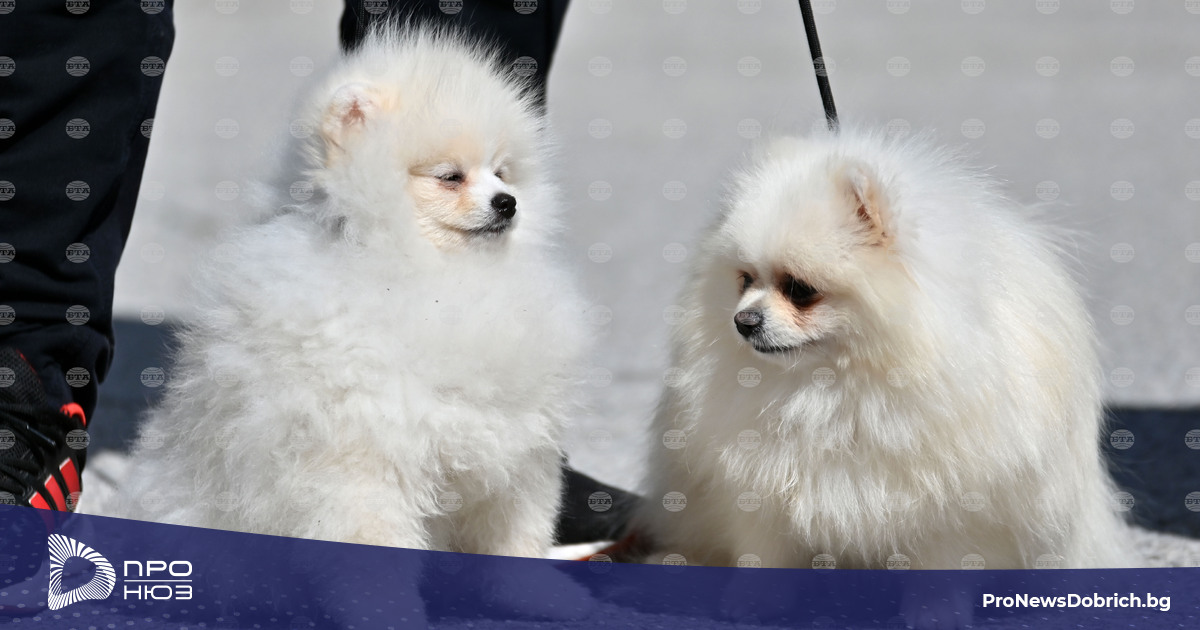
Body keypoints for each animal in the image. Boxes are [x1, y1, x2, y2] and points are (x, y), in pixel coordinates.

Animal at [638, 129, 1129, 574]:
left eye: (799, 289)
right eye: (744, 280)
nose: (743, 320)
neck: (833, 386)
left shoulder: (952, 514)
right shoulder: (765, 497)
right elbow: (766, 556)